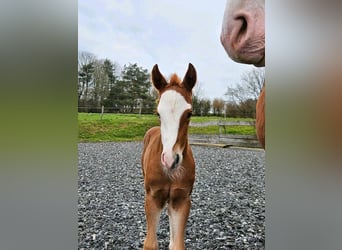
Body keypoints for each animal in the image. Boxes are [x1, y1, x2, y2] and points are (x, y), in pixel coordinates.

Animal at [140, 63, 196, 249]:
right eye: (158, 113)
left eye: (189, 113)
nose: (170, 160)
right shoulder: (153, 197)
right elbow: (150, 243)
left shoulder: (182, 199)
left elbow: (177, 244)